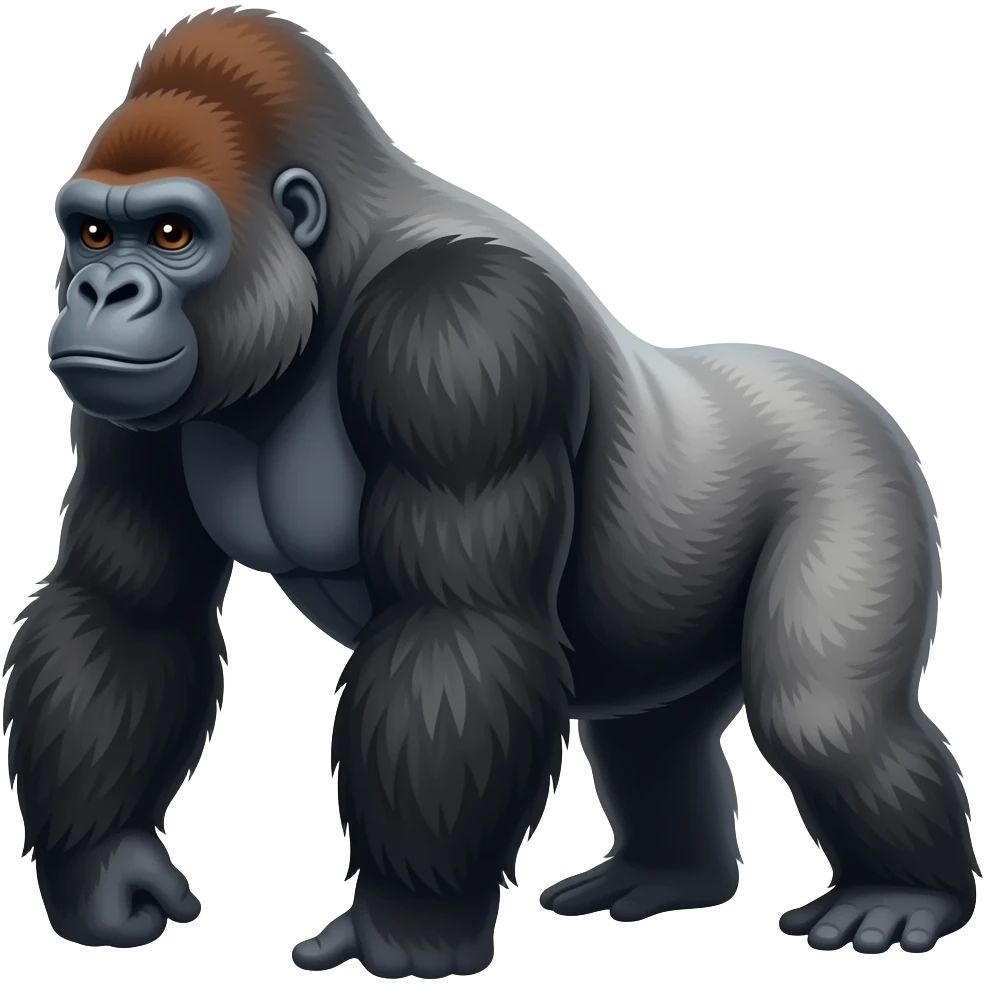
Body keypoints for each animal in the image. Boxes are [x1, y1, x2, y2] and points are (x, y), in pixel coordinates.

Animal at [4, 6, 976, 976]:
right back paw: (669, 872)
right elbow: (126, 605)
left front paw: (406, 927)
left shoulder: (460, 330)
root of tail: (834, 384)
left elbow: (455, 629)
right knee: (654, 735)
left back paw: (905, 894)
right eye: (92, 234)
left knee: (828, 720)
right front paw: (105, 869)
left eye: (173, 234)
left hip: (858, 468)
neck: (329, 266)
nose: (101, 291)